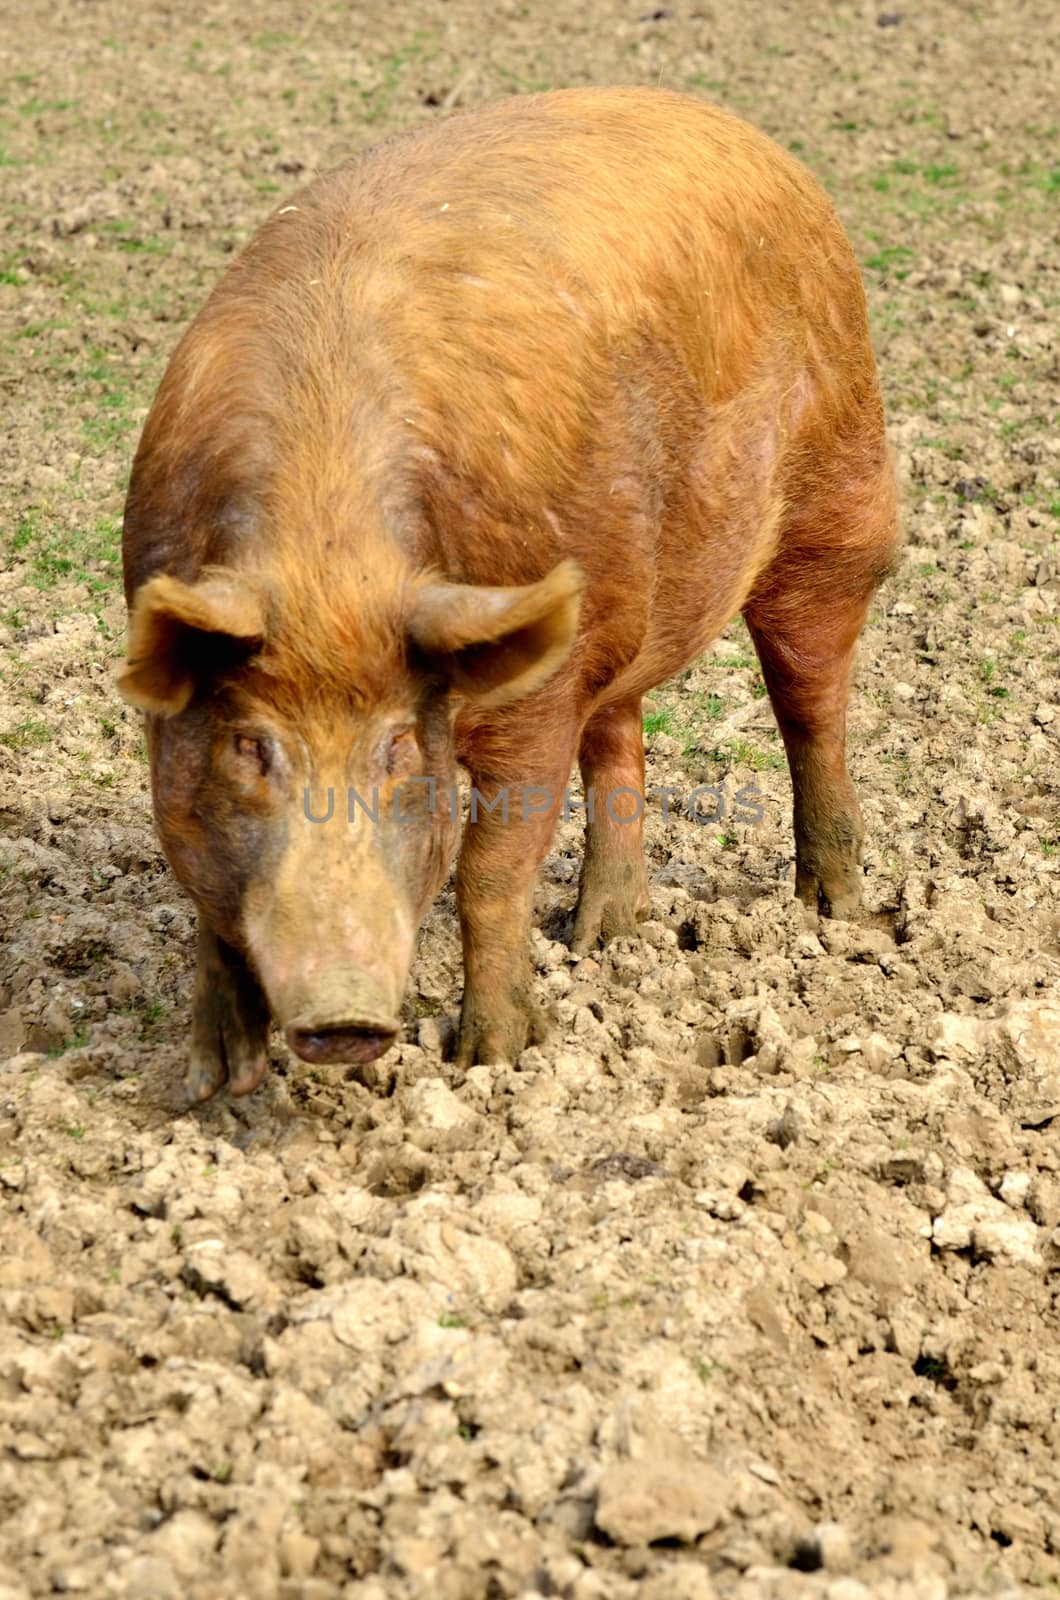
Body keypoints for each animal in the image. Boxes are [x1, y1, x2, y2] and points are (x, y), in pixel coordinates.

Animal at [118, 84, 896, 1100]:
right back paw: (600, 936)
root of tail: (746, 133)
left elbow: (490, 869)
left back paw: (833, 910)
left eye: (400, 747)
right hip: (612, 596)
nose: (344, 1019)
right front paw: (210, 1084)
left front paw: (491, 1059)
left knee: (813, 702)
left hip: (836, 493)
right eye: (250, 746)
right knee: (621, 735)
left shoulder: (535, 694)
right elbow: (201, 885)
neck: (328, 556)